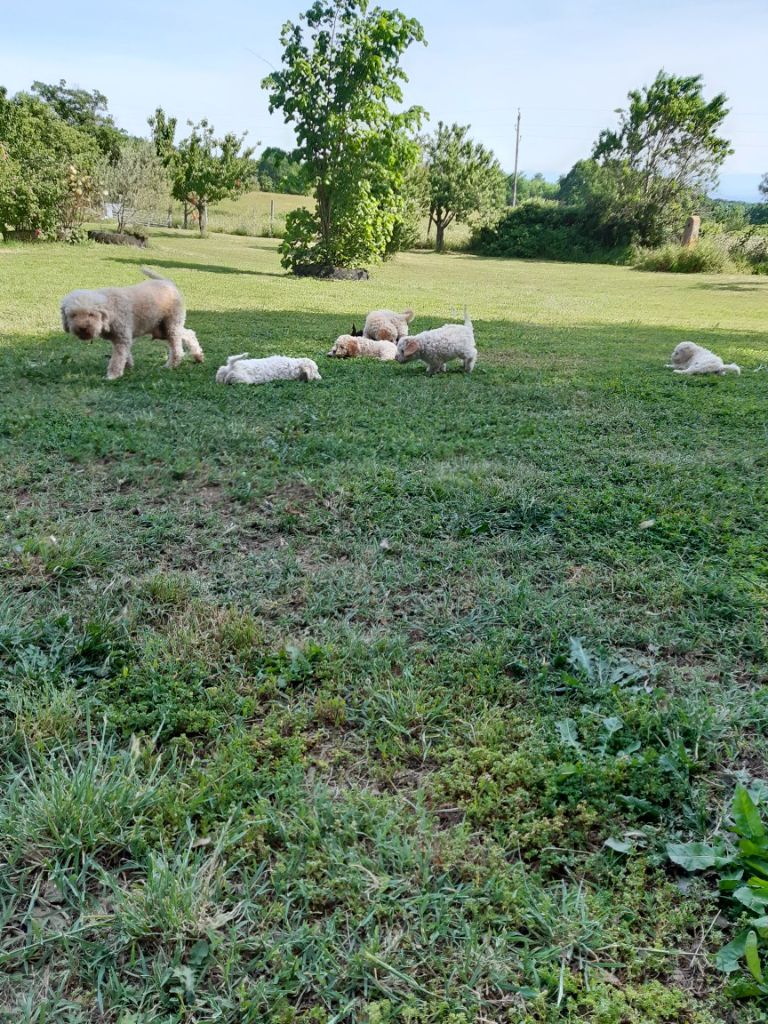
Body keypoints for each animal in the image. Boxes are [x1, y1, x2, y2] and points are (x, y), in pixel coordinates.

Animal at [60, 266, 204, 382]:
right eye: (73, 315)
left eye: (91, 314)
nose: (82, 328)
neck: (110, 308)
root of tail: (168, 282)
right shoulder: (122, 339)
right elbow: (125, 354)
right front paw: (128, 366)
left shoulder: (122, 338)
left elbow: (117, 359)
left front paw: (113, 375)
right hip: (163, 329)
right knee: (189, 333)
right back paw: (198, 356)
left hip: (171, 325)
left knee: (177, 350)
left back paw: (171, 365)